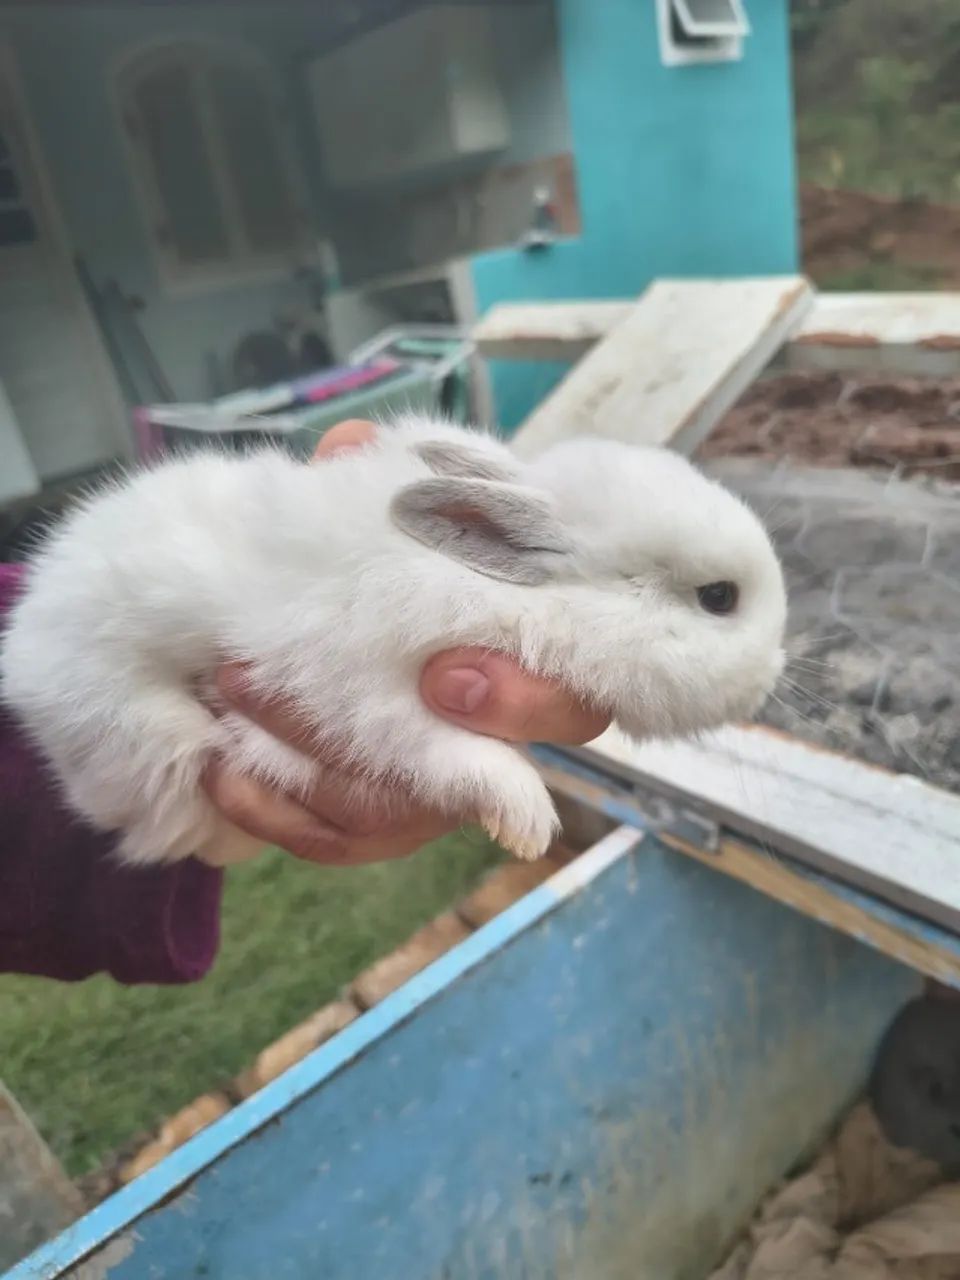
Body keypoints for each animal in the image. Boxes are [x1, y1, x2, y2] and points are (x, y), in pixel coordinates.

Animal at [0, 414, 787, 868]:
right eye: (719, 598)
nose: (779, 667)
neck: (520, 596)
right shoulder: (359, 695)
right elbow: (449, 753)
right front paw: (527, 821)